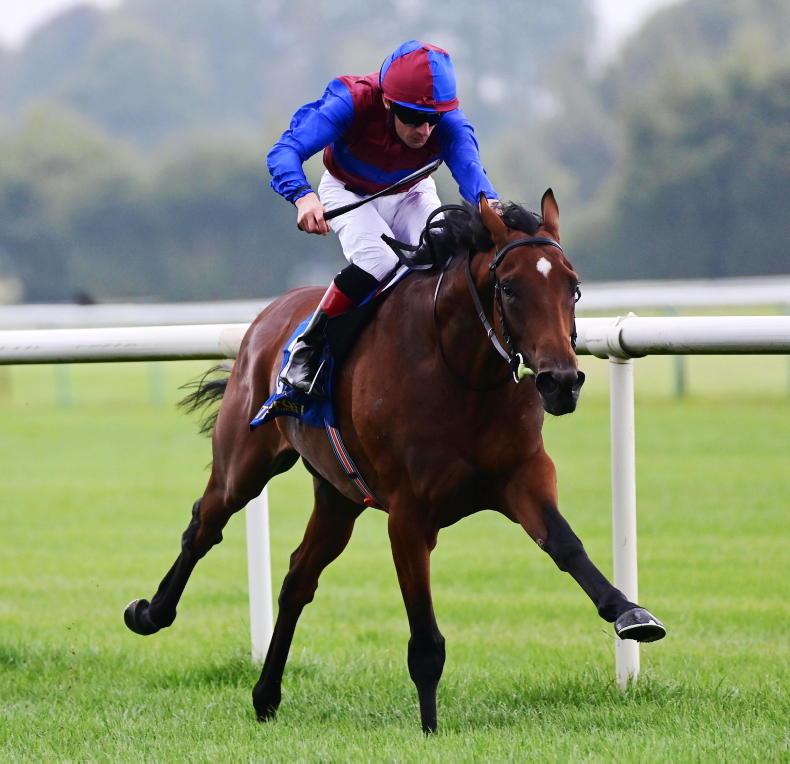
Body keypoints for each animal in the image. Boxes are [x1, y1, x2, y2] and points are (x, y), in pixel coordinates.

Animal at [124, 192, 665, 733]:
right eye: (510, 288)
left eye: (573, 287)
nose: (561, 382)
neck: (462, 374)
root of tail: (267, 318)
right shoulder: (409, 515)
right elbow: (425, 639)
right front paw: (429, 728)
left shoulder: (522, 476)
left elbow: (566, 545)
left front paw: (630, 612)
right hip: (244, 465)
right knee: (204, 527)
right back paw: (150, 613)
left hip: (339, 495)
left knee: (298, 579)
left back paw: (266, 695)